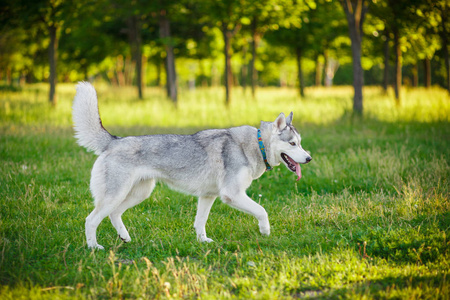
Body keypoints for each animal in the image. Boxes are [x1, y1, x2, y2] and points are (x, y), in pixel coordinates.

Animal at [74, 82, 312, 248]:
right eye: (292, 144)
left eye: (300, 143)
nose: (309, 158)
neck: (256, 145)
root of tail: (113, 141)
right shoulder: (232, 194)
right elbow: (262, 211)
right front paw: (265, 231)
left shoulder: (208, 196)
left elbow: (200, 222)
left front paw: (203, 241)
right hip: (117, 194)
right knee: (91, 220)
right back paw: (94, 247)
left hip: (139, 193)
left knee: (114, 214)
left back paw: (124, 237)